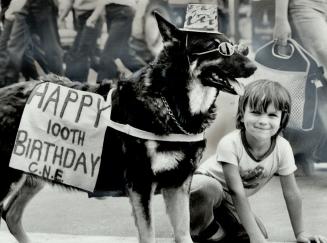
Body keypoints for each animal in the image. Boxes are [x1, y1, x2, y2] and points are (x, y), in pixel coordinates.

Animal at [0, 12, 256, 243]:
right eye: (217, 48)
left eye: (234, 46)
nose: (254, 67)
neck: (169, 102)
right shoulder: (141, 187)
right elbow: (149, 235)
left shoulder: (178, 184)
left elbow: (183, 233)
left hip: (34, 172)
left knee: (11, 214)